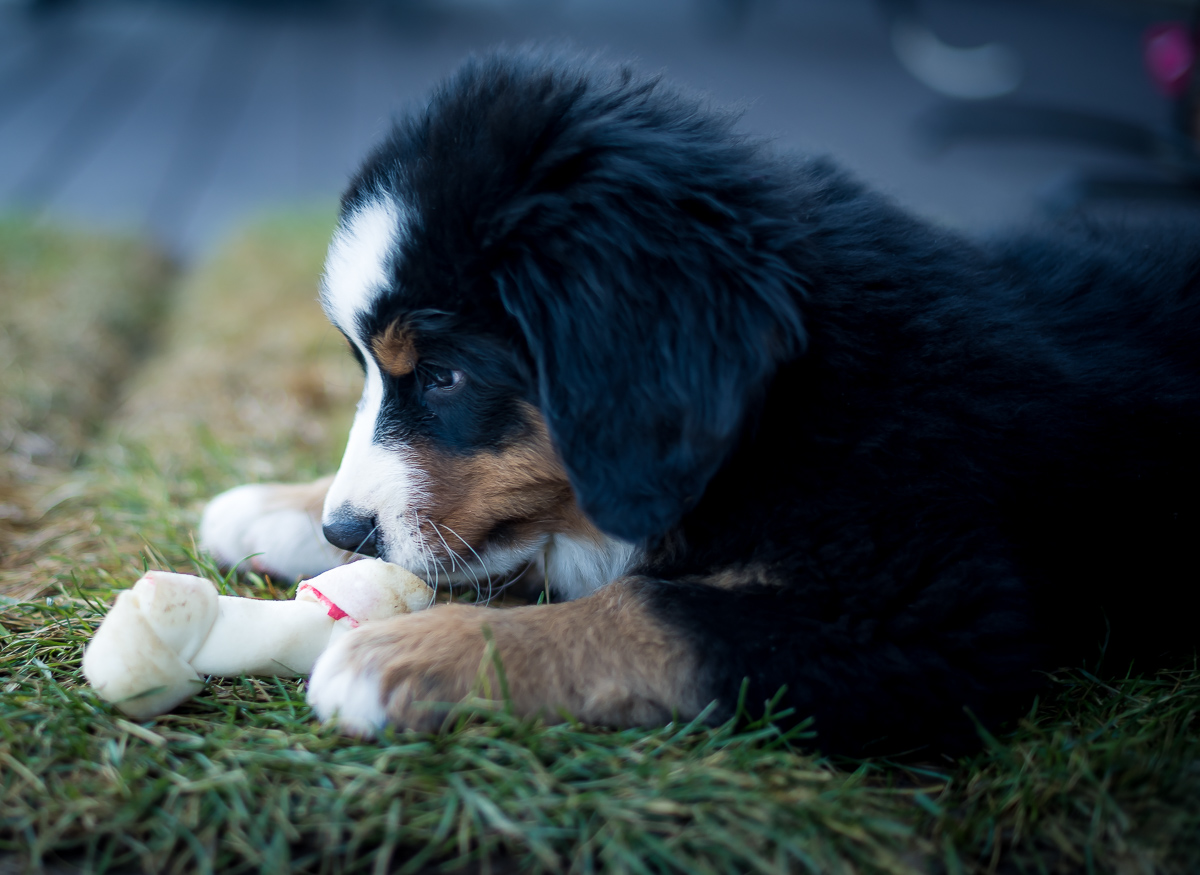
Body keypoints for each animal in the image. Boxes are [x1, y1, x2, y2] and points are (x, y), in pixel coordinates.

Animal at [201, 51, 1200, 753]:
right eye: (372, 371)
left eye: (444, 375)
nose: (342, 529)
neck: (785, 407)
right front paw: (272, 509)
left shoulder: (930, 614)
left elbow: (649, 609)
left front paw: (415, 655)